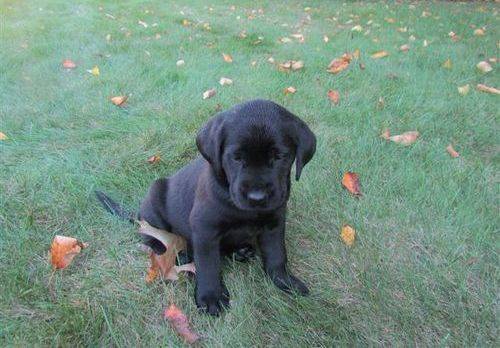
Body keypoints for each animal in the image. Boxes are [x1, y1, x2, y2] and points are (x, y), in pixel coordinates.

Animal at [98, 98, 316, 316]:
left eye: (280, 156)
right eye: (236, 157)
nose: (257, 198)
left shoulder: (274, 222)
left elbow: (276, 255)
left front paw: (285, 281)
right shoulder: (204, 229)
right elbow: (208, 264)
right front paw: (210, 297)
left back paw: (240, 252)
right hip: (155, 200)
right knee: (153, 239)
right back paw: (181, 254)